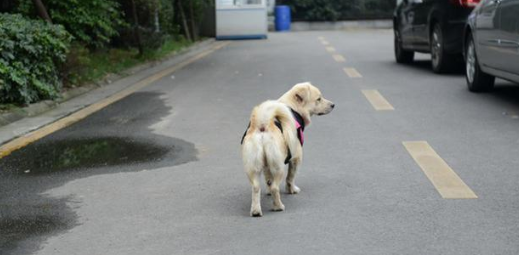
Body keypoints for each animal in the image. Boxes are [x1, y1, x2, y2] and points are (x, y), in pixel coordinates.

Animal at [242, 82, 336, 216]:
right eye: (319, 99)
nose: (333, 105)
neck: (292, 107)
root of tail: (263, 125)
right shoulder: (296, 158)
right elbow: (290, 178)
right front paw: (292, 190)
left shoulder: (266, 165)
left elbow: (268, 179)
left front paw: (268, 191)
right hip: (278, 167)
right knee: (276, 187)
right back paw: (278, 206)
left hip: (253, 167)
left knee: (256, 188)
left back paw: (256, 211)